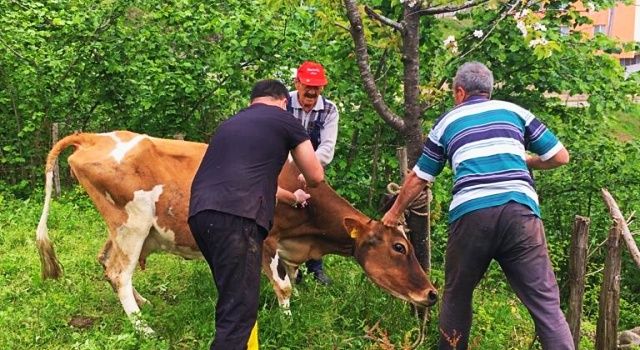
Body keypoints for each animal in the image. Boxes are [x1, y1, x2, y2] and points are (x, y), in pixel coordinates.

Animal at [33, 130, 436, 332]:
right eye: (399, 247)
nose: (431, 294)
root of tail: (93, 137)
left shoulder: (290, 247)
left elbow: (291, 279)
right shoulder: (267, 240)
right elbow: (283, 285)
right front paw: (288, 322)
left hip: (121, 228)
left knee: (106, 263)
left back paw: (143, 305)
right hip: (133, 222)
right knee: (119, 271)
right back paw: (143, 328)